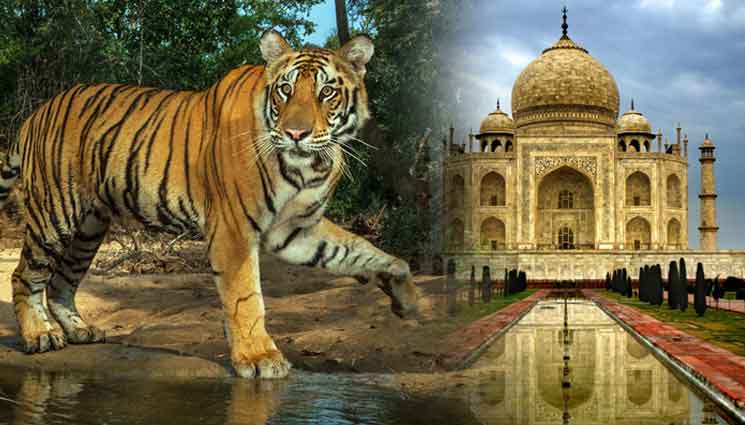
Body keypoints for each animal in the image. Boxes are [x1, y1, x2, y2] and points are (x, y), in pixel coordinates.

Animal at [0, 30, 418, 379]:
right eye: (285, 90)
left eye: (326, 92)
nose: (295, 133)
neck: (308, 165)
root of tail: (36, 113)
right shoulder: (234, 230)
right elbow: (246, 297)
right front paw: (259, 358)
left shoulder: (295, 229)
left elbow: (360, 249)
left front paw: (406, 296)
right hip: (55, 214)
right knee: (24, 274)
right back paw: (39, 335)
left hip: (88, 229)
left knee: (61, 280)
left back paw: (79, 330)